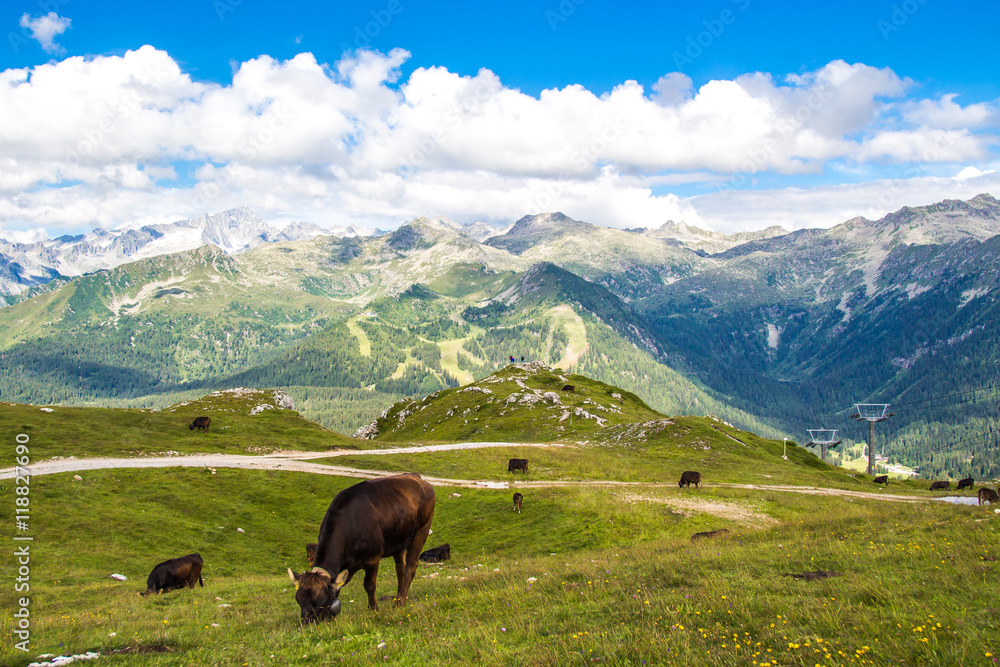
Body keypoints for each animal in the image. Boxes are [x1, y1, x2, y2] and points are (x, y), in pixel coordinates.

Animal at [287, 473, 435, 624]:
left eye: (320, 601)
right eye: (299, 600)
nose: (306, 623)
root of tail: (415, 477)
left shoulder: (373, 558)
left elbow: (369, 585)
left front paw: (373, 609)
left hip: (421, 531)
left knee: (410, 567)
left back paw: (399, 602)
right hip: (399, 540)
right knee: (400, 569)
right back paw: (399, 597)